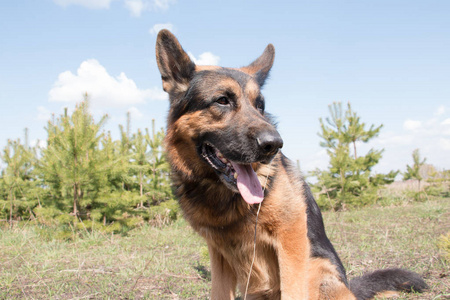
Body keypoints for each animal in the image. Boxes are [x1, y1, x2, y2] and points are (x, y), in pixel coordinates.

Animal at [156, 29, 428, 298]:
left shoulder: (291, 239)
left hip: (319, 270)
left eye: (260, 106)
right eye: (222, 100)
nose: (274, 144)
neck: (225, 197)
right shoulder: (219, 255)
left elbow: (293, 289)